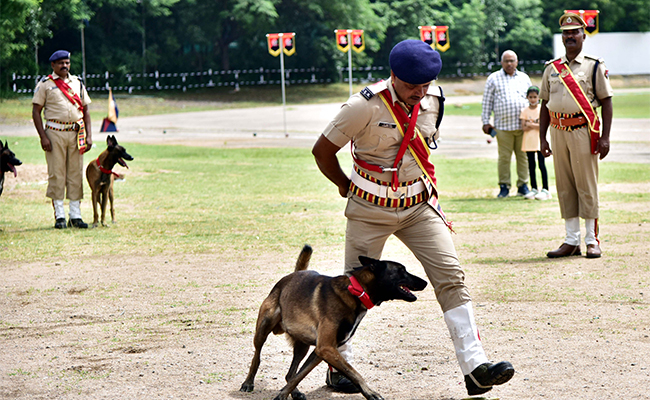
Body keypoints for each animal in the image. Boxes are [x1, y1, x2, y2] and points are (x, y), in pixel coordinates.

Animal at [238, 244, 426, 400]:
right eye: (402, 270)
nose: (424, 282)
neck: (356, 292)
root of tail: (290, 277)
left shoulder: (322, 350)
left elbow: (299, 375)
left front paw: (283, 394)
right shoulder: (326, 348)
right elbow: (353, 372)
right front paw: (371, 393)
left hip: (302, 346)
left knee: (291, 373)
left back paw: (296, 392)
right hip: (263, 328)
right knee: (257, 356)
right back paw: (248, 383)